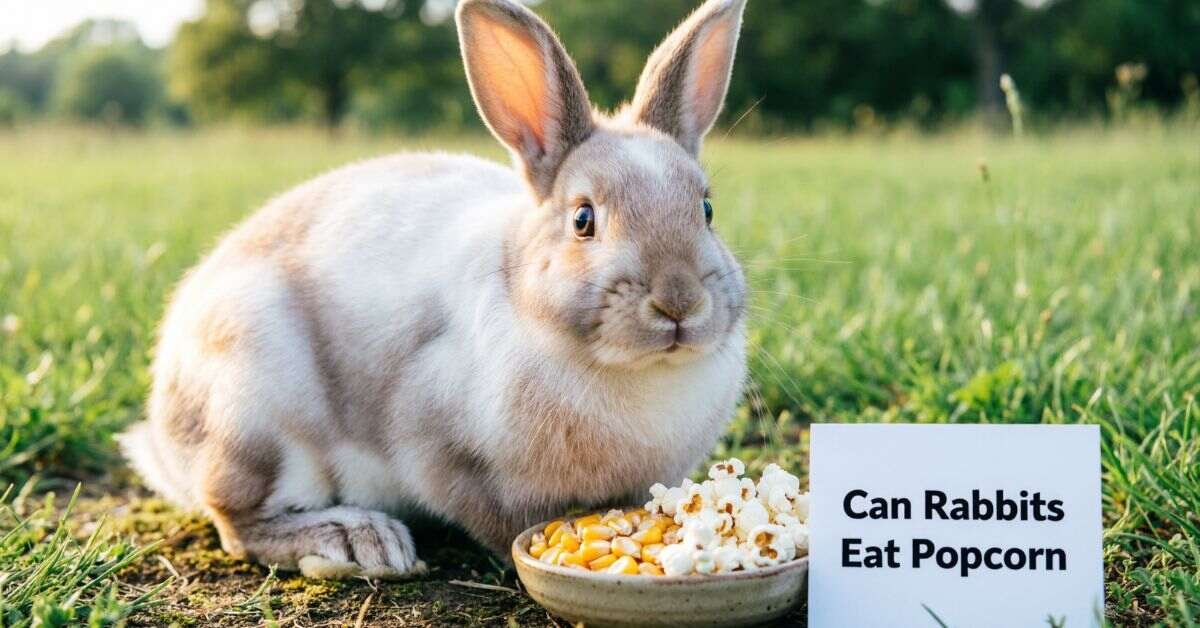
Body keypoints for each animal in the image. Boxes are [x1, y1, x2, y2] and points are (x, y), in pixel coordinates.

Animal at [119, 0, 750, 580]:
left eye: (707, 210)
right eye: (583, 219)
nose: (680, 302)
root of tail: (167, 435)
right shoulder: (435, 442)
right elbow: (496, 518)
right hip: (254, 408)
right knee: (236, 520)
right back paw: (361, 542)